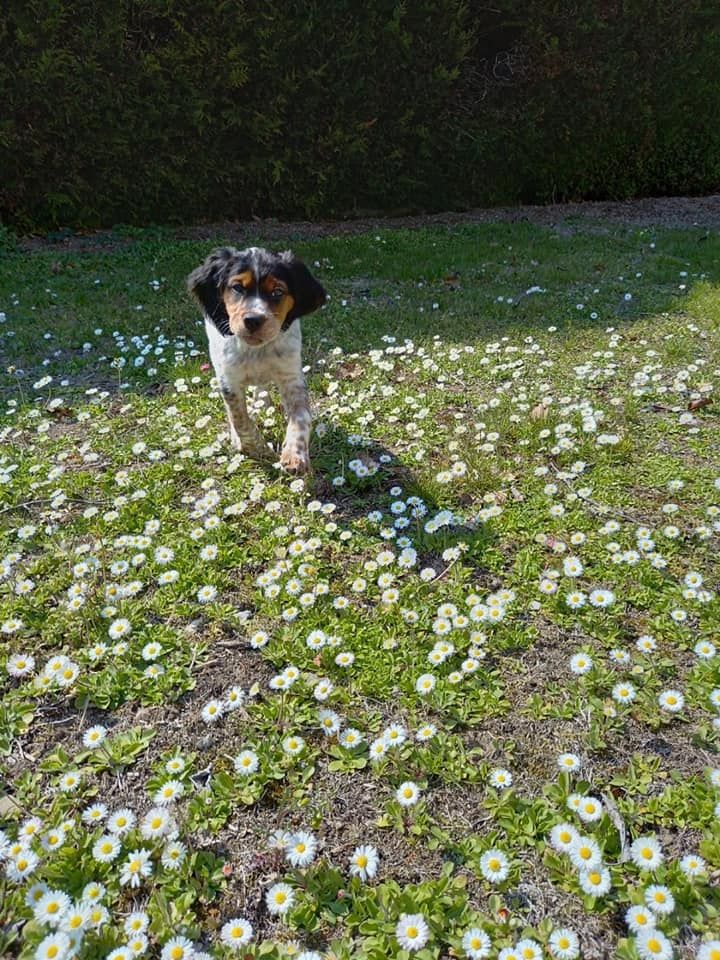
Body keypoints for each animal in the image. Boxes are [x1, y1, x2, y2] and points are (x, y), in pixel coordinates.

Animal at [190, 246, 328, 474]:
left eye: (277, 292)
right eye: (237, 288)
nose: (253, 320)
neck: (257, 350)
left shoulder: (291, 376)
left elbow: (301, 417)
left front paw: (294, 455)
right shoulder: (229, 381)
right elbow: (240, 419)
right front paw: (257, 449)